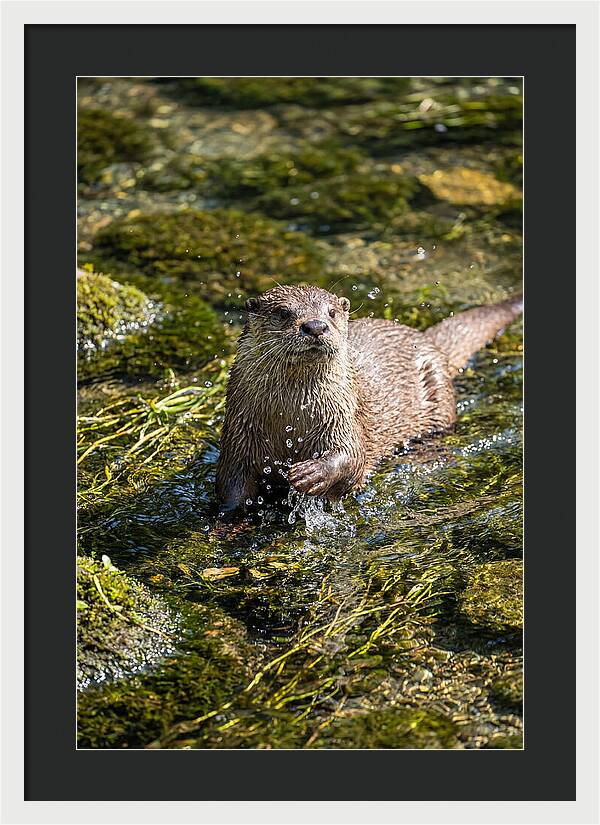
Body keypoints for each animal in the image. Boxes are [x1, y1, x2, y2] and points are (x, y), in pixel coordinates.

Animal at [216, 285, 522, 514]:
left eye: (331, 312)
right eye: (283, 312)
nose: (315, 326)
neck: (291, 419)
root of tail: (427, 340)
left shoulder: (344, 417)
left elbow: (352, 457)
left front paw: (310, 474)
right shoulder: (238, 435)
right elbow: (231, 486)